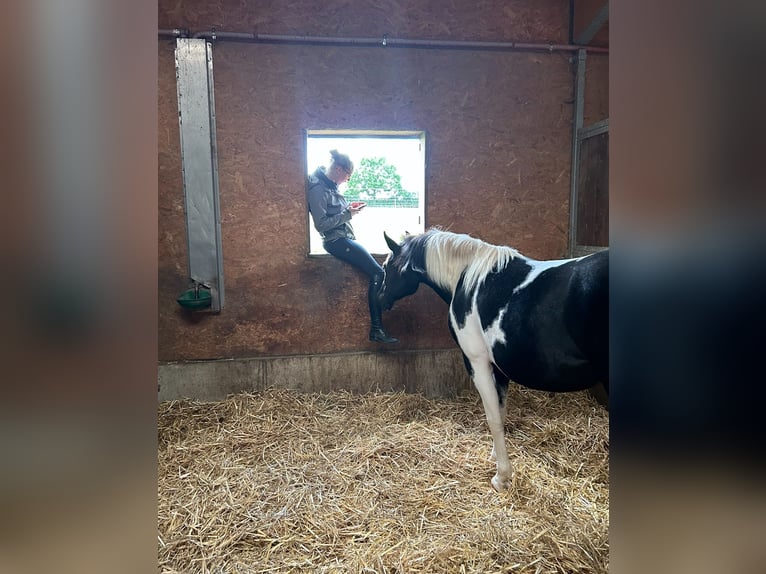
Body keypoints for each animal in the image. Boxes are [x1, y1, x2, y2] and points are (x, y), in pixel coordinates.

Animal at [380, 232, 608, 492]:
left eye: (387, 267)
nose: (381, 298)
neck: (467, 277)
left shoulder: (477, 362)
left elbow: (492, 418)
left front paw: (502, 477)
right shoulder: (499, 369)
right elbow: (501, 411)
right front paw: (495, 456)